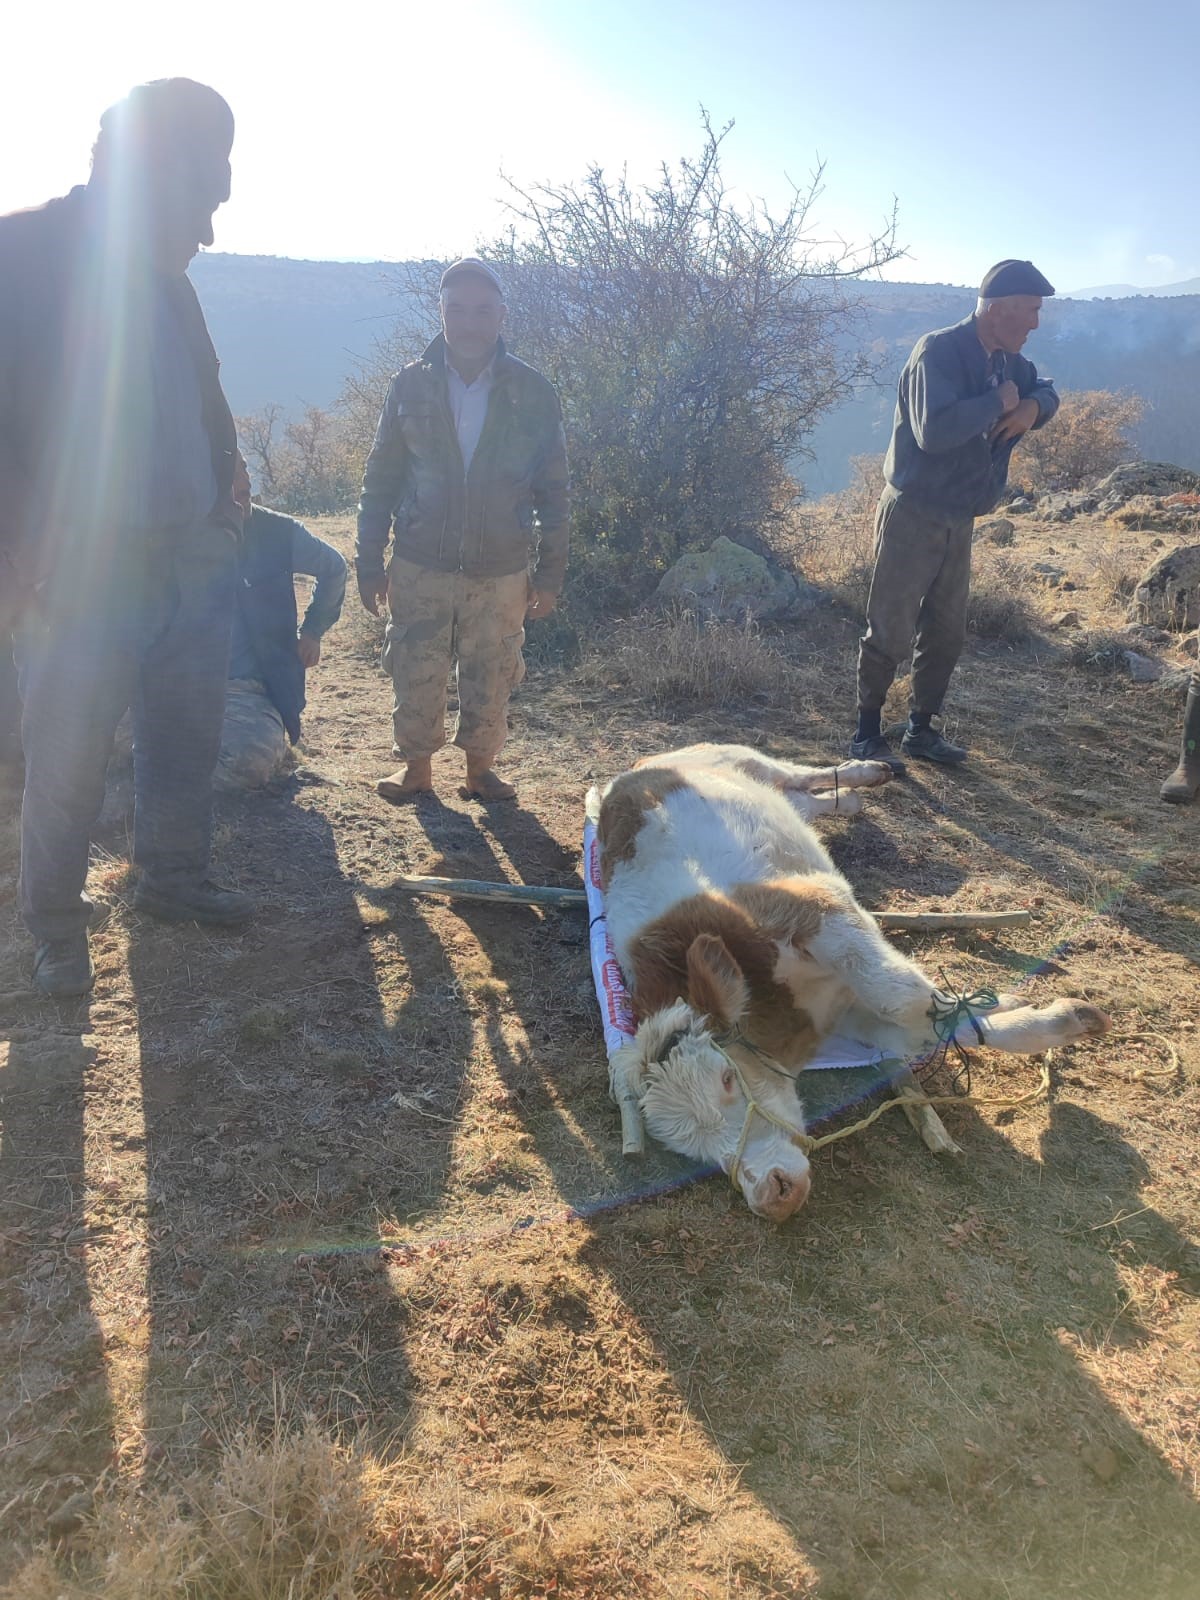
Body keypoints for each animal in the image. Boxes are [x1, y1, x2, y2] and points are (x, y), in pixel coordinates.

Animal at [588, 745, 1113, 1222]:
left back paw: (868, 772)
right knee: (805, 800)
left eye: (727, 1078)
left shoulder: (821, 910)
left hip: (744, 758)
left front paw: (1015, 1005)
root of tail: (629, 773)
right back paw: (851, 801)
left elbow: (903, 997)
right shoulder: (843, 1017)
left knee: (801, 776)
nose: (773, 1195)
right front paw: (1043, 1015)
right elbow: (925, 1024)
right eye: (685, 1148)